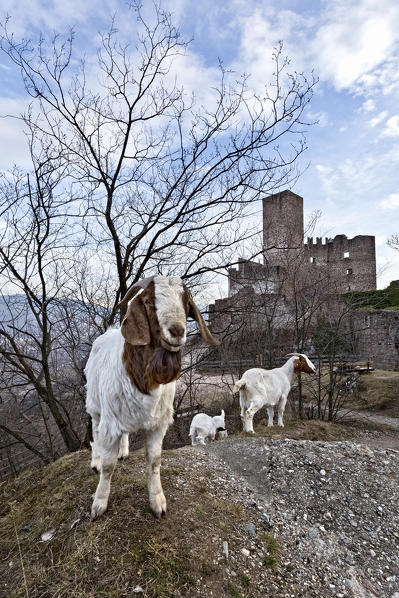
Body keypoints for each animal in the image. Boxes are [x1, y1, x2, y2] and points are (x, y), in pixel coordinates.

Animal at [85, 276, 220, 520]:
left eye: (186, 302)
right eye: (148, 301)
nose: (177, 331)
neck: (144, 380)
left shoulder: (157, 423)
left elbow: (155, 461)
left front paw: (158, 502)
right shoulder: (111, 422)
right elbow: (108, 466)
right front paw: (99, 504)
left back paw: (123, 451)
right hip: (96, 404)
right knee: (95, 429)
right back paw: (96, 460)